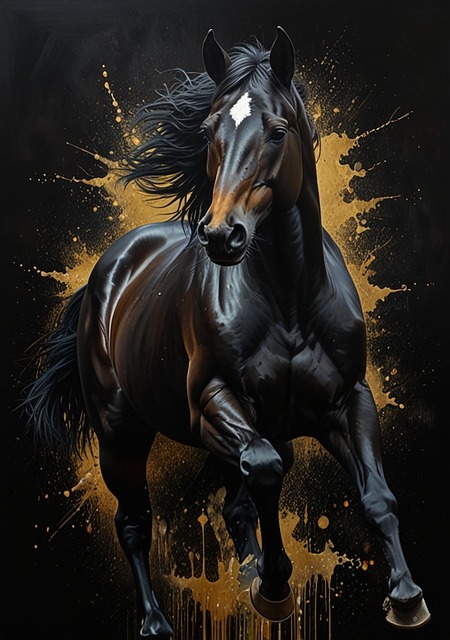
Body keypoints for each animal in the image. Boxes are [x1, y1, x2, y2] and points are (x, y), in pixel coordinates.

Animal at [22, 27, 430, 638]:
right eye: (209, 130)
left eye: (278, 131)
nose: (221, 235)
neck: (289, 298)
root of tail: (109, 271)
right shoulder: (211, 405)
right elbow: (263, 471)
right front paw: (276, 585)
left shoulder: (347, 400)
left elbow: (376, 495)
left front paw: (405, 598)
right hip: (121, 435)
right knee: (136, 523)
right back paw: (157, 622)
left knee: (236, 500)